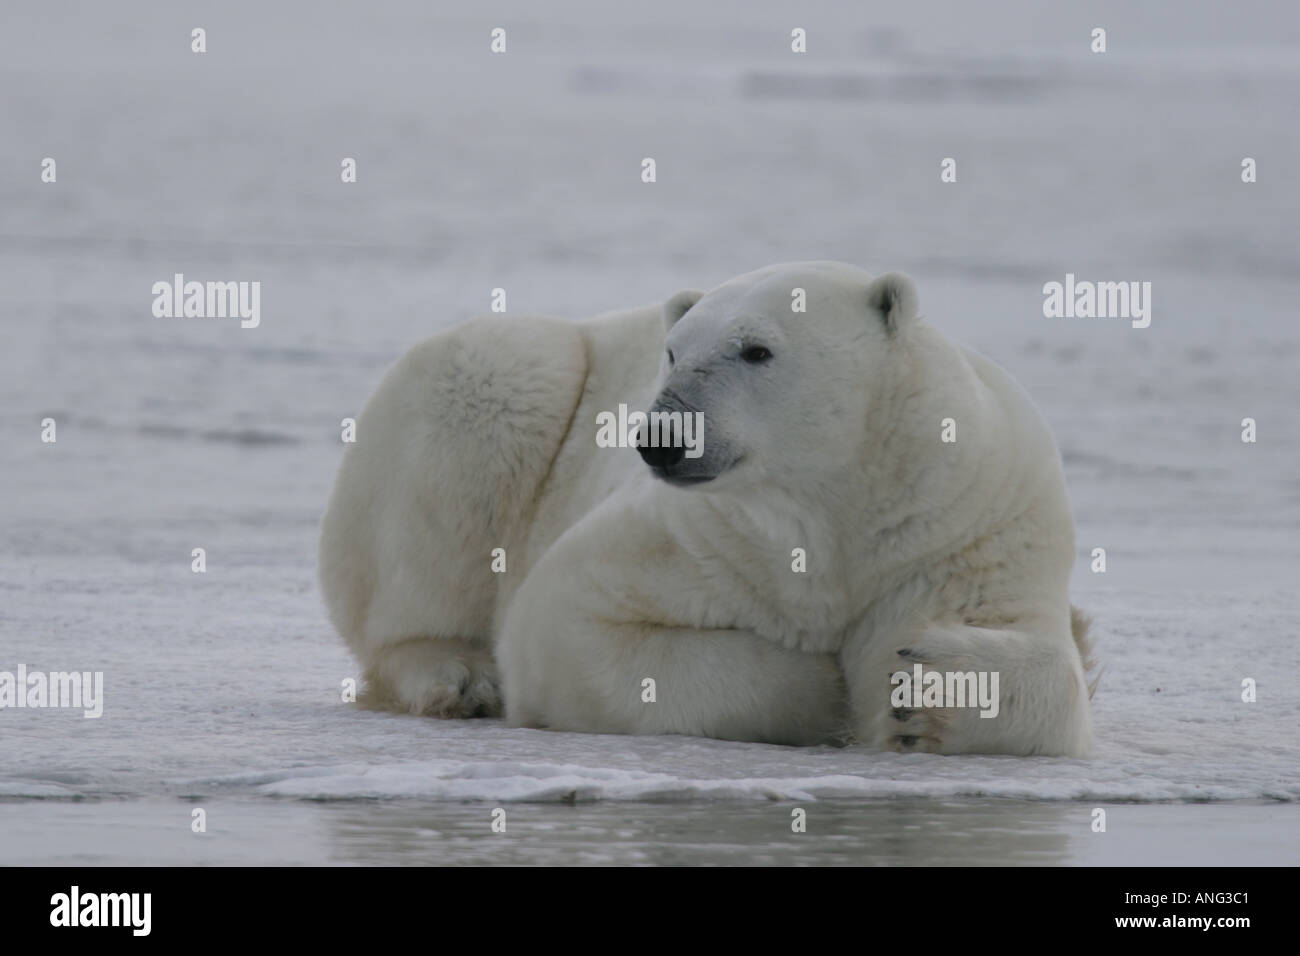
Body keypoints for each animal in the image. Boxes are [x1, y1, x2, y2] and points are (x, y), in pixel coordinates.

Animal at [319, 261, 1092, 754]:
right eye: (671, 351)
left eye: (757, 349)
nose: (660, 435)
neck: (842, 503)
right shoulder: (701, 538)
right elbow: (568, 621)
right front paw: (834, 689)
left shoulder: (969, 524)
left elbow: (1044, 669)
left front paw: (924, 688)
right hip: (492, 387)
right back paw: (458, 675)